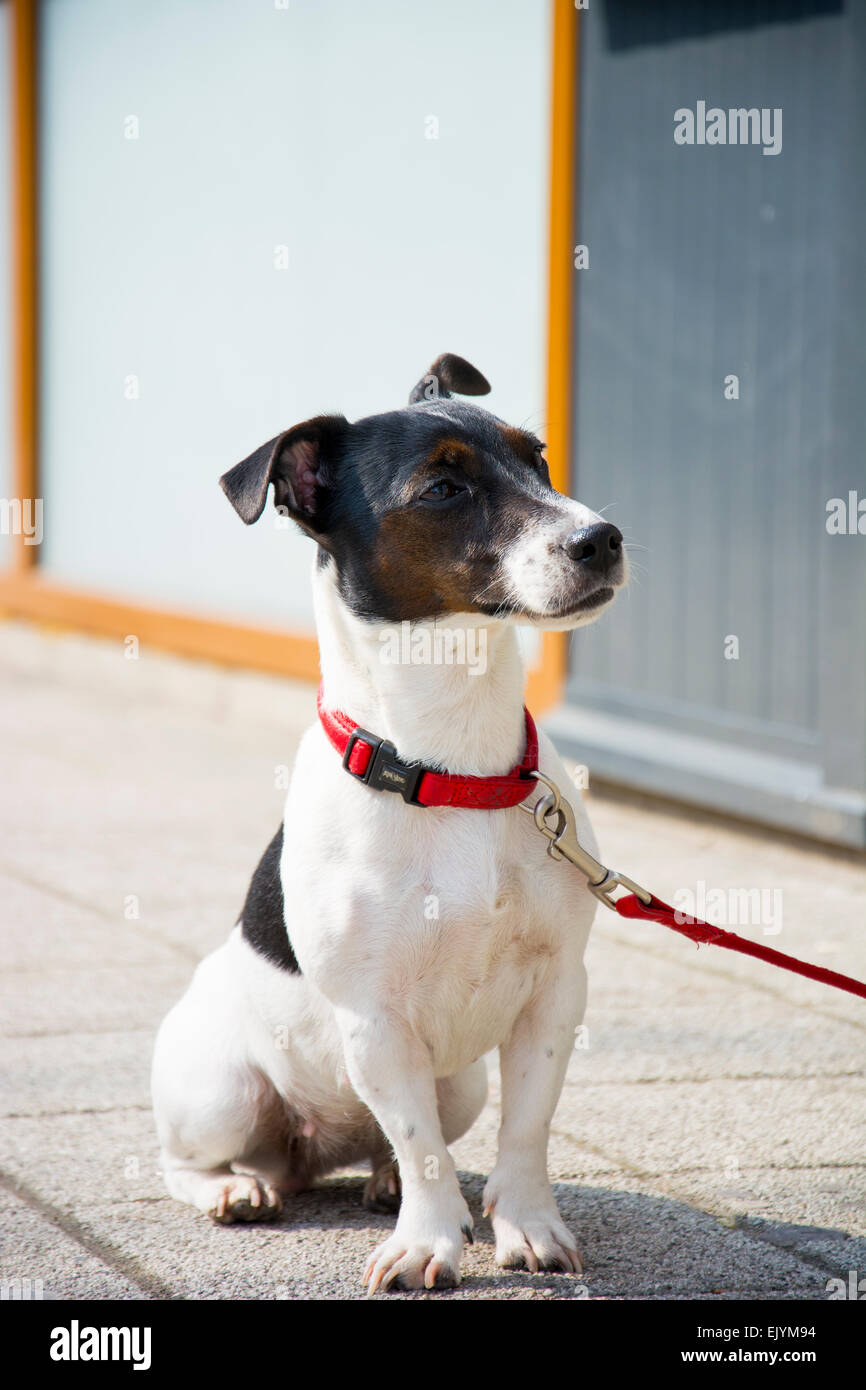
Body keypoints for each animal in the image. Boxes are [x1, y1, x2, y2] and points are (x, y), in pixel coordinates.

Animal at [152, 353, 625, 1284]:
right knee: (193, 1159)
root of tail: (310, 1154)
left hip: (460, 1081)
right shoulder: (375, 1019)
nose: (603, 537)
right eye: (442, 487)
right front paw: (427, 1242)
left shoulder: (556, 994)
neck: (457, 773)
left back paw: (375, 1182)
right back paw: (236, 1189)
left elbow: (526, 1127)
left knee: (392, 1141)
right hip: (221, 1092)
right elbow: (422, 1147)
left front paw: (526, 1226)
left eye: (539, 458)